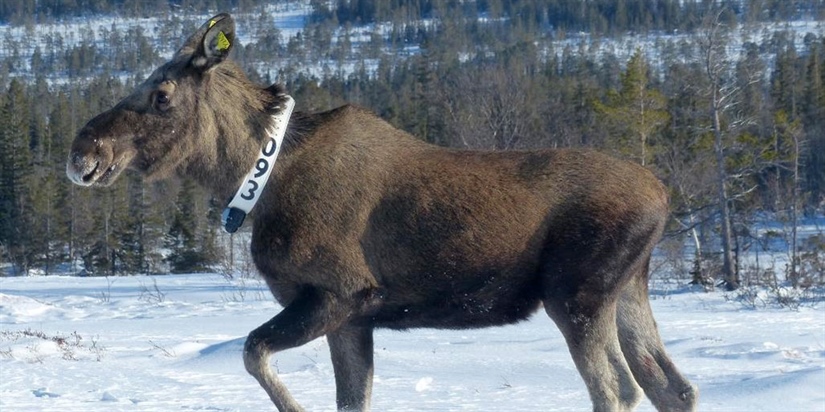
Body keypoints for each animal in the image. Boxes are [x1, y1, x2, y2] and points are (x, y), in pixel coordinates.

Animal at [66, 12, 696, 412]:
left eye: (162, 95)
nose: (83, 151)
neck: (255, 182)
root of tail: (665, 196)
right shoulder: (354, 319)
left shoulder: (340, 293)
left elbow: (253, 355)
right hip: (627, 289)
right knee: (673, 387)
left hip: (577, 294)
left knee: (617, 390)